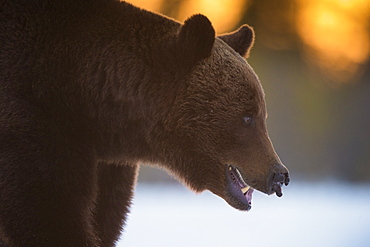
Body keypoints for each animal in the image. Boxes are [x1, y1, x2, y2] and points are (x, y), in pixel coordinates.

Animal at [0, 0, 290, 247]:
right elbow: (50, 214)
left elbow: (103, 218)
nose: (279, 174)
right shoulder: (34, 123)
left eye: (261, 114)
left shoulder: (108, 165)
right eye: (247, 116)